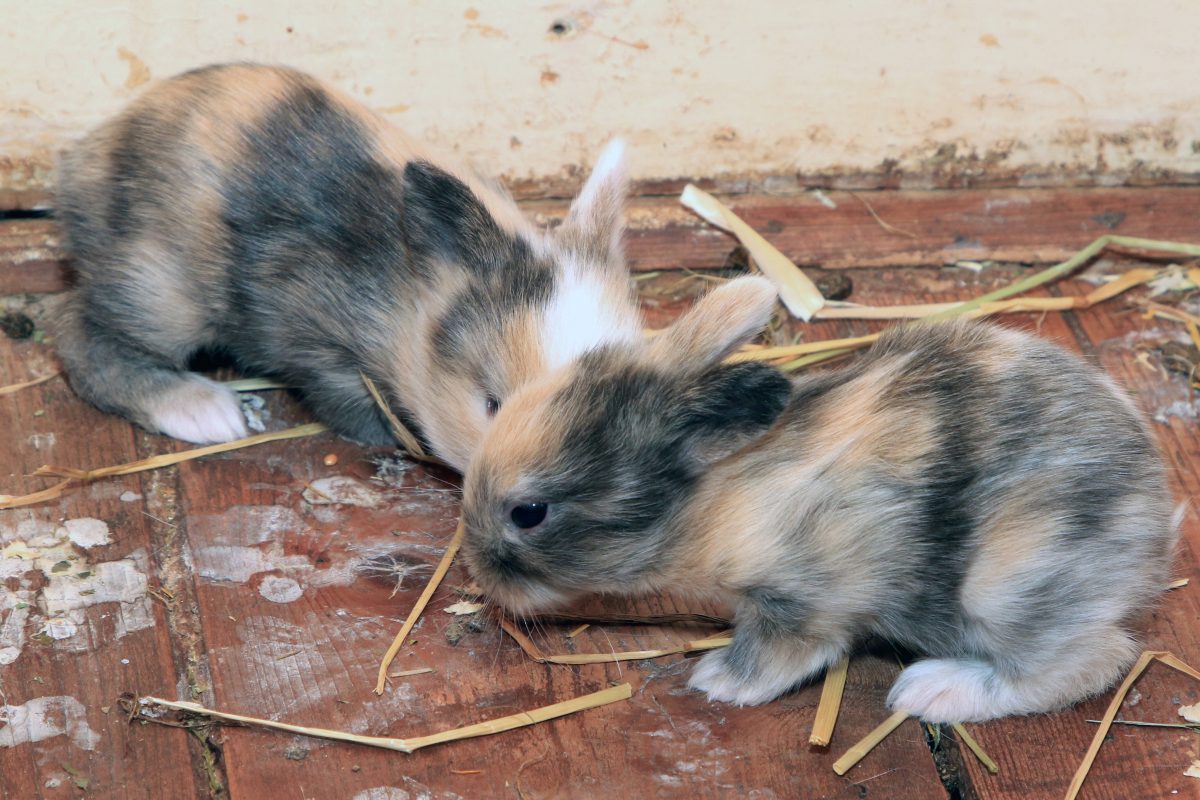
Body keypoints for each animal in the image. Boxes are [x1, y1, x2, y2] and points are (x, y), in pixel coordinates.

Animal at [55, 67, 643, 474]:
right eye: (492, 405)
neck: (410, 300)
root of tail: (86, 158)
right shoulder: (315, 340)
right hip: (156, 292)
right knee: (81, 336)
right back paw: (206, 412)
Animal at [463, 277, 1176, 724]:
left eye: (529, 513)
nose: (479, 572)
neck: (715, 496)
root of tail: (1154, 514)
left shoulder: (803, 602)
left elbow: (777, 655)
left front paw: (717, 682)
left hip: (1009, 586)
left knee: (1091, 661)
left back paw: (929, 691)